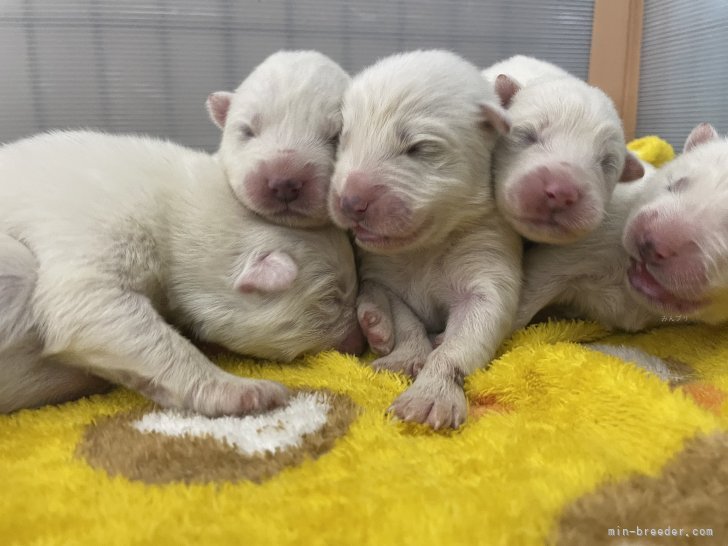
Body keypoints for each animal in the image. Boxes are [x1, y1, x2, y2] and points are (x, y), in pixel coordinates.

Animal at [330, 49, 524, 428]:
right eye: (343, 140)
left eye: (418, 148)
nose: (349, 201)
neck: (424, 248)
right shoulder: (387, 277)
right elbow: (405, 319)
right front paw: (404, 358)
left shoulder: (487, 255)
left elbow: (465, 336)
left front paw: (430, 395)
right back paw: (375, 324)